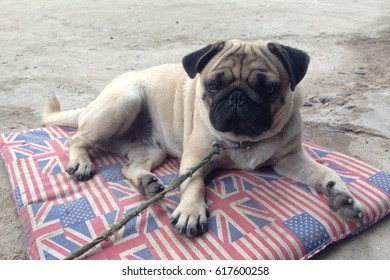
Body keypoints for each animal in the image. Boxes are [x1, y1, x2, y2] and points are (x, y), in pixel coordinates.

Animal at [43, 39, 366, 236]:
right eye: (213, 85)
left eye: (269, 88)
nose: (237, 97)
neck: (244, 139)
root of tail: (91, 105)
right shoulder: (195, 158)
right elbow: (195, 182)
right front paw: (191, 211)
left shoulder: (290, 159)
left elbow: (324, 172)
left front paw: (341, 195)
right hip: (124, 101)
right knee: (77, 140)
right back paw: (81, 163)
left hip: (151, 149)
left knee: (129, 167)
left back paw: (147, 183)